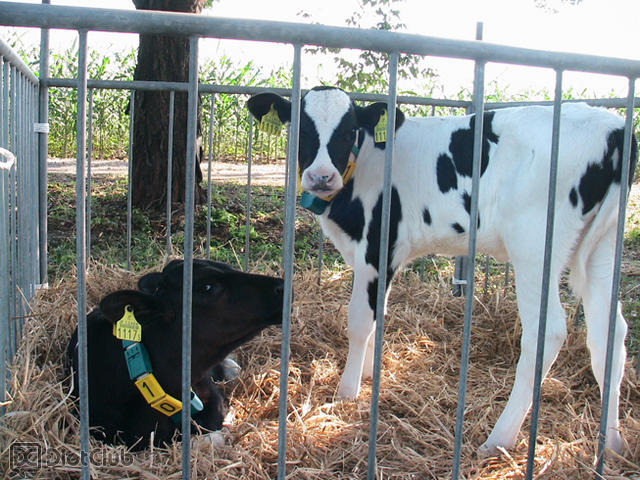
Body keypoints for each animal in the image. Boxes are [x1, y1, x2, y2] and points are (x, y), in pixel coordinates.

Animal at [248, 86, 636, 454]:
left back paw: (499, 439)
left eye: (348, 131)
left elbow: (359, 319)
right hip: (603, 248)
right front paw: (371, 374)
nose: (321, 176)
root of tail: (613, 126)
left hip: (534, 245)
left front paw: (348, 390)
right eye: (301, 127)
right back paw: (612, 442)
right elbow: (378, 314)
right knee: (610, 334)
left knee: (548, 332)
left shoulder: (377, 245)